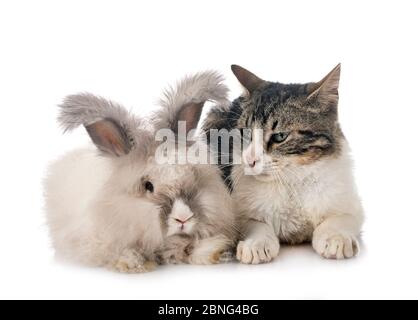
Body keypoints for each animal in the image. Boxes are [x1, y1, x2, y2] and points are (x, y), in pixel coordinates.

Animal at [45, 70, 238, 272]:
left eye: (192, 177)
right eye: (148, 186)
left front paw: (216, 251)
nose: (183, 218)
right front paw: (134, 263)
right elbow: (121, 252)